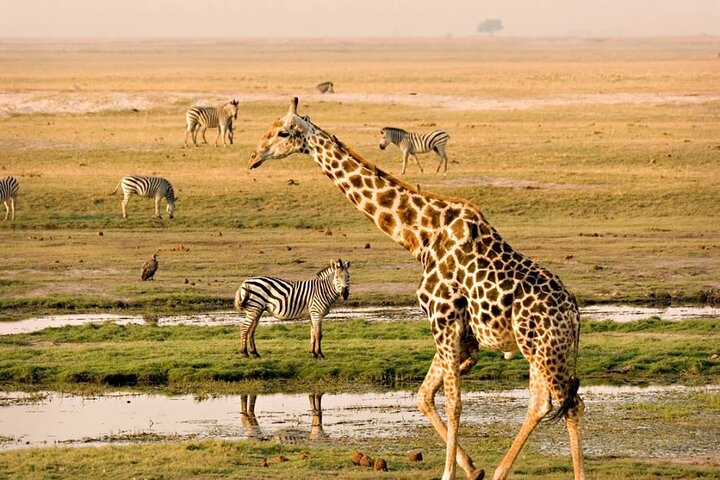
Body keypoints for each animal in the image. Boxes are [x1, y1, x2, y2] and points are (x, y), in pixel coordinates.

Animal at [249, 98, 584, 480]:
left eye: (282, 132)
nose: (255, 156)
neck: (420, 236)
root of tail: (574, 314)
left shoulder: (444, 319)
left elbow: (453, 403)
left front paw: (449, 473)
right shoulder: (456, 332)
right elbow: (424, 397)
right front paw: (473, 468)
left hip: (545, 349)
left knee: (571, 404)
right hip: (537, 350)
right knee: (542, 403)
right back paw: (500, 472)